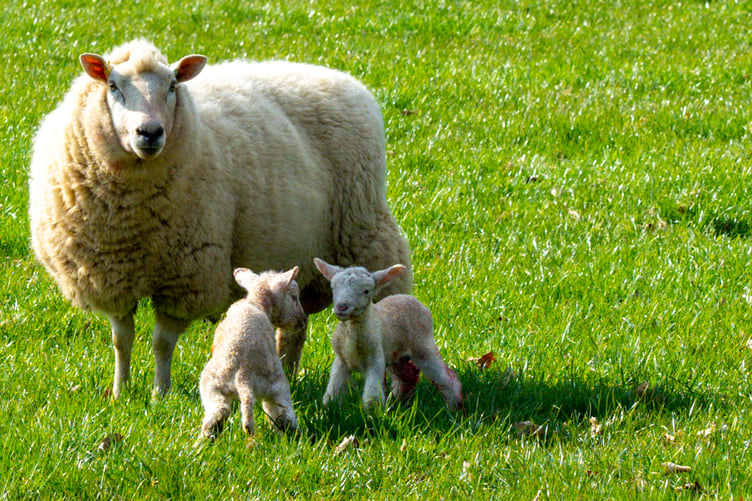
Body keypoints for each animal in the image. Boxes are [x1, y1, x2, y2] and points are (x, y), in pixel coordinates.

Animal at [28, 39, 412, 398]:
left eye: (172, 86)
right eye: (113, 86)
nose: (149, 133)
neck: (131, 220)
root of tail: (340, 78)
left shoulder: (185, 278)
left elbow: (161, 343)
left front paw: (159, 394)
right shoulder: (111, 277)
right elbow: (122, 340)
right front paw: (122, 392)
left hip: (365, 233)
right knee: (295, 326)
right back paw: (286, 373)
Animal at [200, 267, 303, 439]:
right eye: (294, 297)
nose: (302, 322)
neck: (255, 302)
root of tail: (244, 374)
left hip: (211, 386)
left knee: (218, 412)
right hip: (276, 386)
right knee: (282, 414)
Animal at [313, 258, 462, 410]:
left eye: (366, 291)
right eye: (333, 288)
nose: (341, 307)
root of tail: (411, 298)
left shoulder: (375, 357)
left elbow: (372, 395)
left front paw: (373, 413)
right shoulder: (341, 360)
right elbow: (333, 391)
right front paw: (328, 408)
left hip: (423, 345)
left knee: (446, 377)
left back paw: (455, 407)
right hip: (395, 354)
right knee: (408, 375)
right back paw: (400, 403)